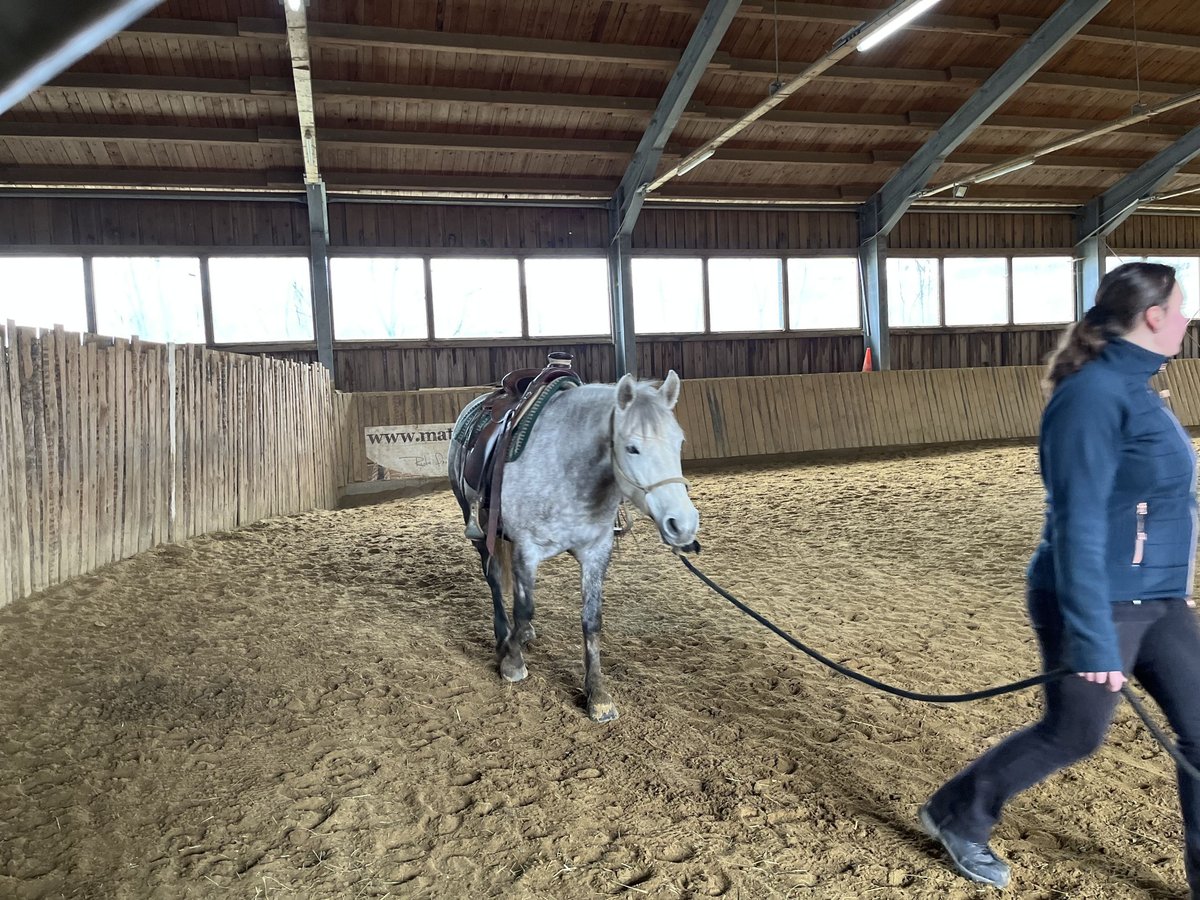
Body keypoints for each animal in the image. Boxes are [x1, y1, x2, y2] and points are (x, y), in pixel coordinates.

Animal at [448, 369, 696, 724]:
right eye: (632, 448)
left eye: (679, 442)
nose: (683, 523)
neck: (568, 465)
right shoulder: (526, 549)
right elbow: (524, 608)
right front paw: (512, 661)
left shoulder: (596, 551)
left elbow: (591, 620)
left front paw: (598, 695)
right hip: (481, 533)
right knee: (494, 578)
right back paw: (503, 635)